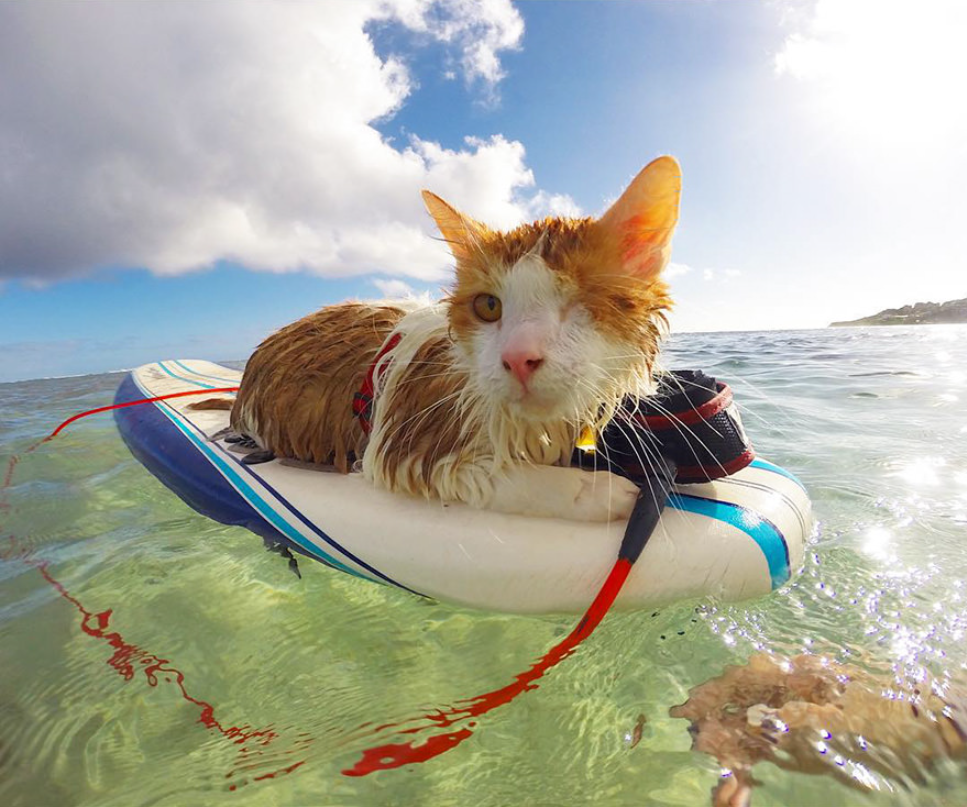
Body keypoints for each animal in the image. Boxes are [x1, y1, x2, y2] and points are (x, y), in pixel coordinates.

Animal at [226, 156, 680, 524]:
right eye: (489, 306)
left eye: (581, 300)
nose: (518, 359)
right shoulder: (405, 450)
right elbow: (503, 478)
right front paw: (594, 491)